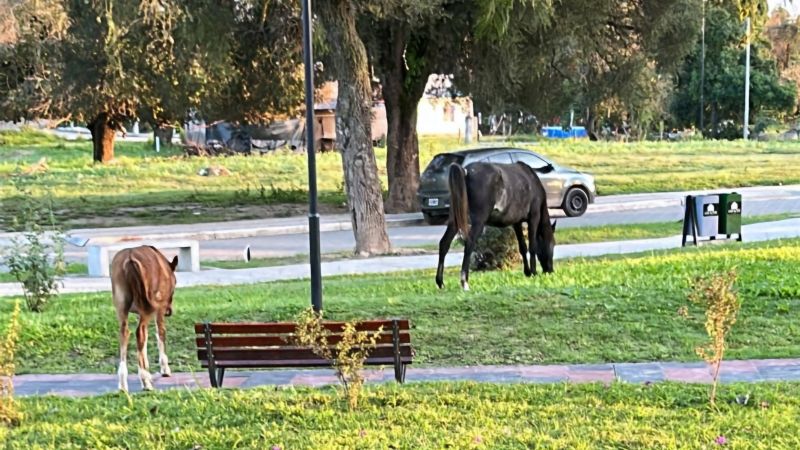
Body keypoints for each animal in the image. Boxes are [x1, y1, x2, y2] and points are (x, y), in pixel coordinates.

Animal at [110, 245, 178, 392]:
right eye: (175, 283)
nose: (169, 311)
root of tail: (130, 260)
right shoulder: (159, 308)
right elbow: (160, 333)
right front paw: (165, 368)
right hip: (149, 305)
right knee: (140, 332)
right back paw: (145, 381)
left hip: (121, 303)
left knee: (125, 333)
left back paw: (123, 383)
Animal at [436, 161, 557, 290]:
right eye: (553, 244)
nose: (550, 270)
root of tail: (465, 171)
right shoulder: (534, 217)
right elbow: (533, 246)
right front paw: (533, 272)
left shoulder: (516, 222)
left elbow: (523, 247)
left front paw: (528, 272)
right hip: (478, 221)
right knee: (469, 243)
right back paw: (464, 281)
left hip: (455, 220)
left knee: (444, 243)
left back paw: (440, 282)